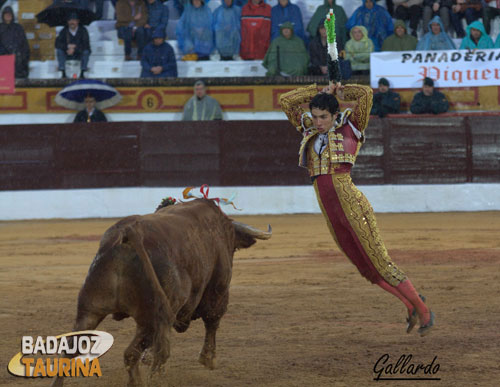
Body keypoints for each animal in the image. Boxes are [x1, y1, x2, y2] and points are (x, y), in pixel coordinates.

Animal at [51, 199, 272, 386]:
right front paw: (208, 359)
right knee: (137, 353)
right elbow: (212, 320)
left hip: (90, 309)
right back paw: (150, 379)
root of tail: (129, 233)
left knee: (72, 350)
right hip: (151, 317)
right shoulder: (218, 289)